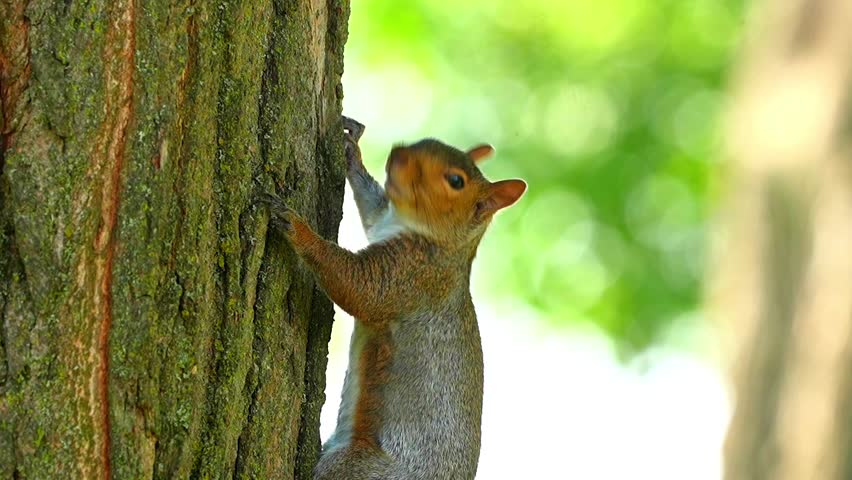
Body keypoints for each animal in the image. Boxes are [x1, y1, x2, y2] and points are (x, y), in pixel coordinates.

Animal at [260, 116, 526, 479]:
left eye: (456, 181)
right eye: (429, 141)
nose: (398, 153)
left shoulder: (411, 277)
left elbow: (359, 288)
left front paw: (297, 228)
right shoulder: (382, 220)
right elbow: (373, 205)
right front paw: (351, 151)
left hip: (355, 468)